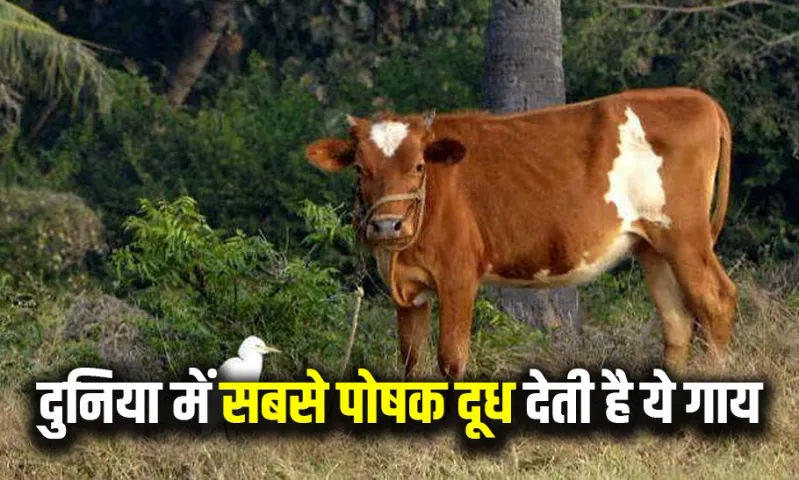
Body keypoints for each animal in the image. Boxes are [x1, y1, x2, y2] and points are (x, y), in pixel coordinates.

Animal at [305, 87, 736, 381]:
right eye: (360, 169)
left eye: (418, 166)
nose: (386, 225)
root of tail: (697, 98)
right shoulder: (410, 290)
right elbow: (411, 361)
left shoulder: (458, 275)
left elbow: (451, 357)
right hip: (652, 246)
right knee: (677, 322)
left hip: (685, 236)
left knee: (715, 301)